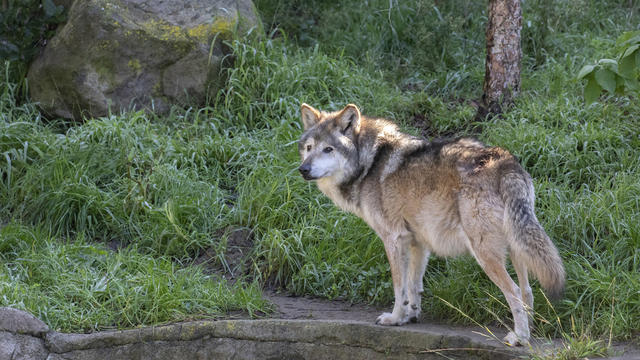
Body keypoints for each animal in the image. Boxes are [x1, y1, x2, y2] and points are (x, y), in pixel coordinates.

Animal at [296, 102, 564, 344]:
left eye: (328, 149)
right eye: (309, 148)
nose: (303, 169)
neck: (369, 163)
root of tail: (505, 162)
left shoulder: (394, 239)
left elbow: (399, 287)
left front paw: (394, 318)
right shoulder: (418, 242)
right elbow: (414, 286)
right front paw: (409, 316)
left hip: (485, 253)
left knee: (515, 291)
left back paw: (520, 338)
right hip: (517, 247)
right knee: (528, 291)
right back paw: (528, 331)